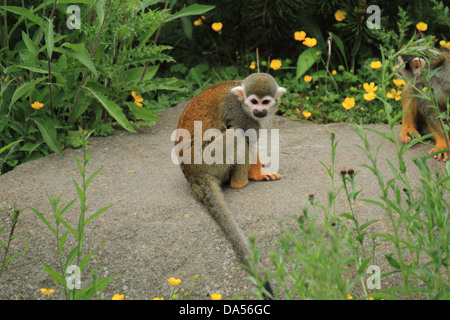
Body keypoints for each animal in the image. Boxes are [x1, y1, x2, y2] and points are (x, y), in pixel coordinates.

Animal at [174, 72, 286, 298]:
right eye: (253, 102)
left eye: (265, 102)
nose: (259, 111)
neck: (243, 103)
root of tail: (192, 176)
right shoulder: (241, 114)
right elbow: (248, 137)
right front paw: (257, 173)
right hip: (208, 161)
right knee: (236, 134)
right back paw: (241, 182)